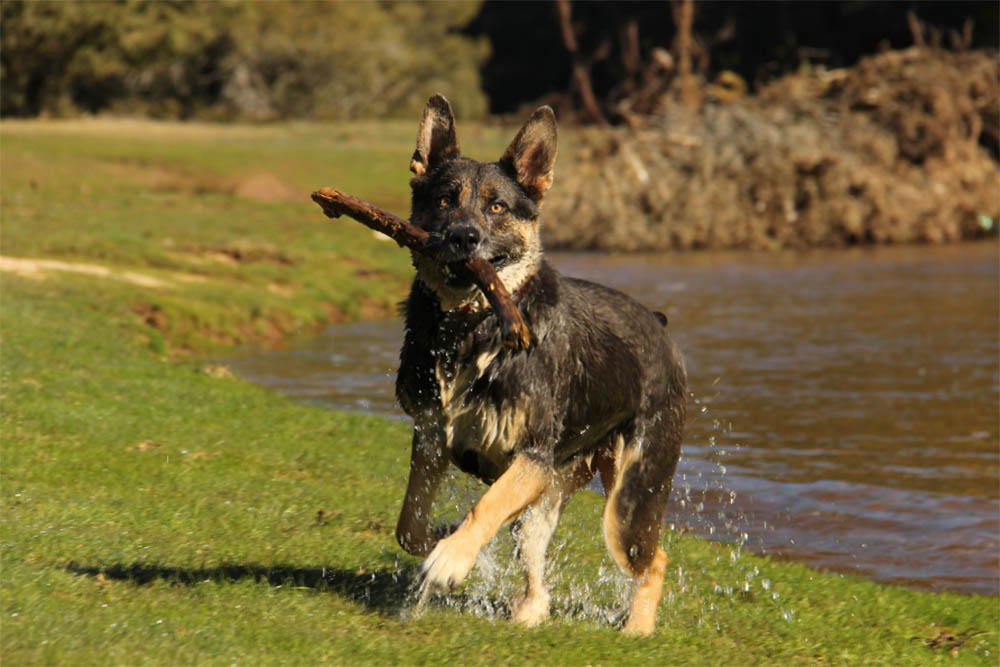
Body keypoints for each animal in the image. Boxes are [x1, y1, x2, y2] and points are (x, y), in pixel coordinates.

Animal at [396, 95, 688, 636]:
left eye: (497, 207)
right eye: (444, 200)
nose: (463, 238)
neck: (472, 329)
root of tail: (660, 326)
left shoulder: (530, 458)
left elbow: (484, 506)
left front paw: (450, 558)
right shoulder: (431, 437)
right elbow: (409, 525)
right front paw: (439, 542)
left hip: (627, 502)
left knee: (654, 558)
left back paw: (636, 630)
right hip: (551, 496)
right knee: (536, 560)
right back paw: (530, 613)